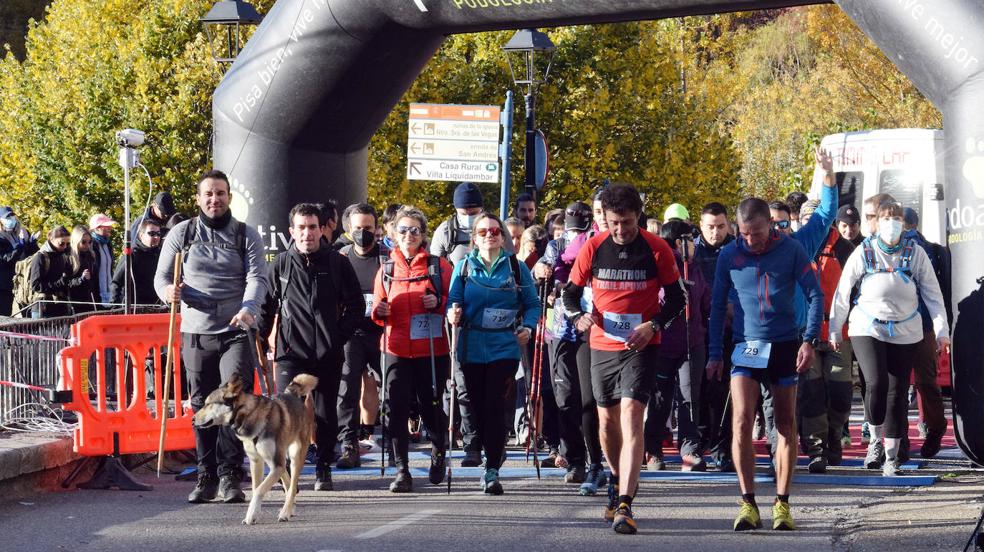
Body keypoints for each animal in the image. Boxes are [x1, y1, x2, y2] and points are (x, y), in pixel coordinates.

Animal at [191, 370, 316, 520]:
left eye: (208, 404)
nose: (192, 419)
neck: (248, 414)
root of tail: (292, 393)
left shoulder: (275, 464)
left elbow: (259, 490)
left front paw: (251, 514)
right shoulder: (257, 461)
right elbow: (257, 487)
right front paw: (253, 513)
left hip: (295, 457)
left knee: (292, 486)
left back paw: (285, 512)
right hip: (276, 461)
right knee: (287, 482)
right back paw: (290, 508)